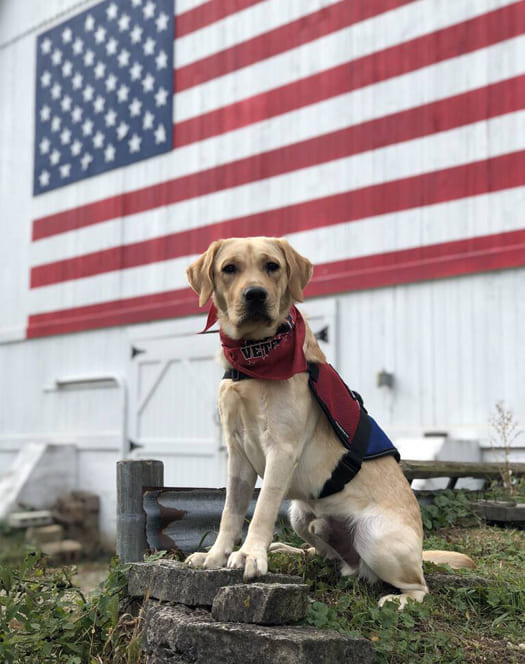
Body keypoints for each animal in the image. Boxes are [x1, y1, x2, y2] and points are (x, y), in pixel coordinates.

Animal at [184, 239, 470, 608]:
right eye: (229, 268)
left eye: (272, 266)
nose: (255, 295)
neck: (254, 359)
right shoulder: (237, 453)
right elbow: (229, 513)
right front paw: (215, 556)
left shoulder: (282, 450)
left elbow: (262, 509)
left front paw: (250, 555)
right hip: (299, 515)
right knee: (331, 556)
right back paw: (292, 550)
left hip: (377, 537)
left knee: (419, 586)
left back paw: (398, 600)